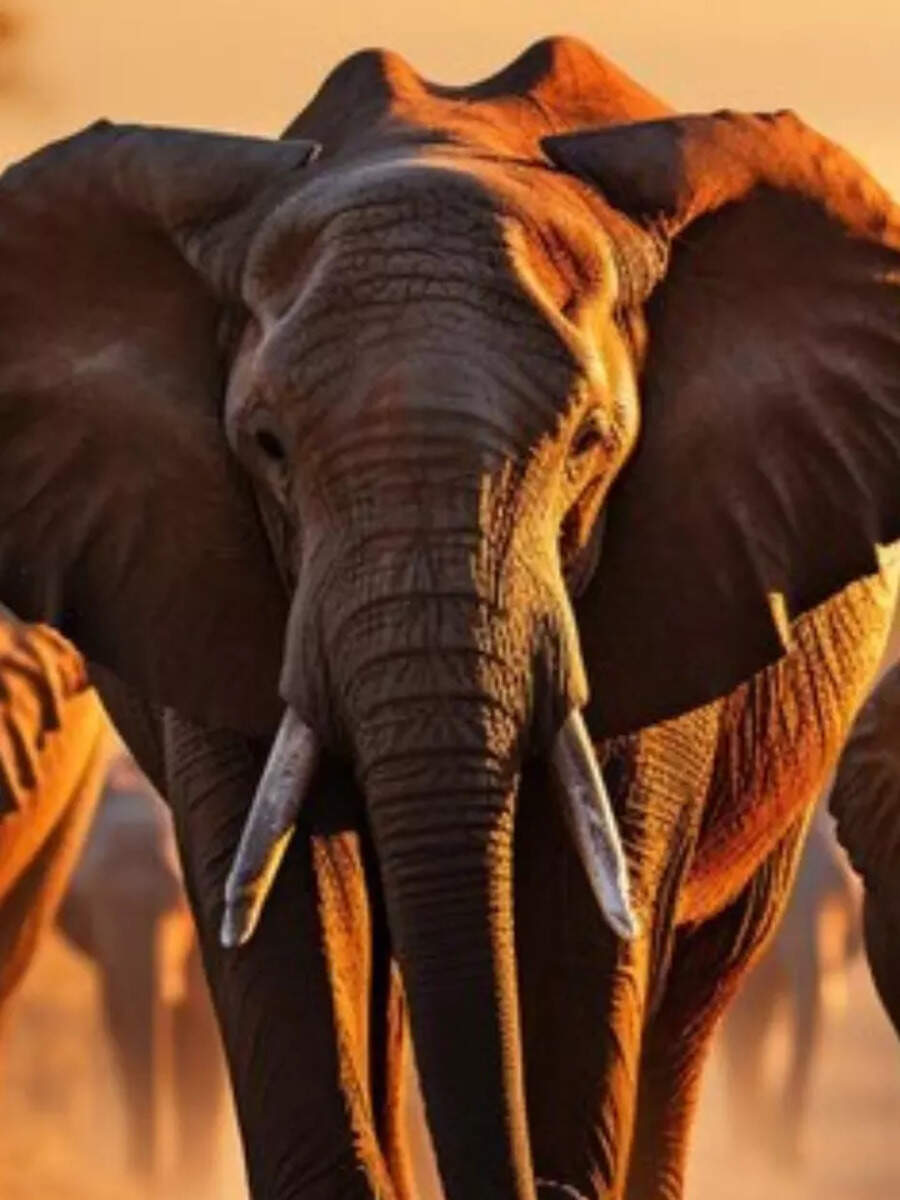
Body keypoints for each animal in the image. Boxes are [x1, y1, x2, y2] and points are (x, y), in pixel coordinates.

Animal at [56, 751, 227, 1191]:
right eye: (85, 900)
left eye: (182, 905)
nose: (148, 1180)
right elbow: (123, 1023)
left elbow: (203, 1031)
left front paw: (192, 1184)